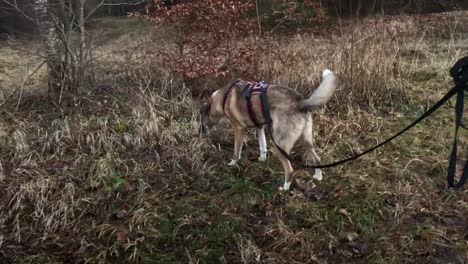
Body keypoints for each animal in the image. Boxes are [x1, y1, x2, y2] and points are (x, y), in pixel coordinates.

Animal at [199, 69, 338, 191]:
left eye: (201, 121)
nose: (199, 135)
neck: (224, 98)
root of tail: (300, 102)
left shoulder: (238, 128)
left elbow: (236, 151)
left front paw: (232, 163)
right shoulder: (259, 126)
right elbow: (262, 146)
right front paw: (262, 159)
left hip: (279, 145)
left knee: (290, 169)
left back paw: (285, 188)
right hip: (306, 140)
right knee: (317, 159)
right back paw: (318, 176)